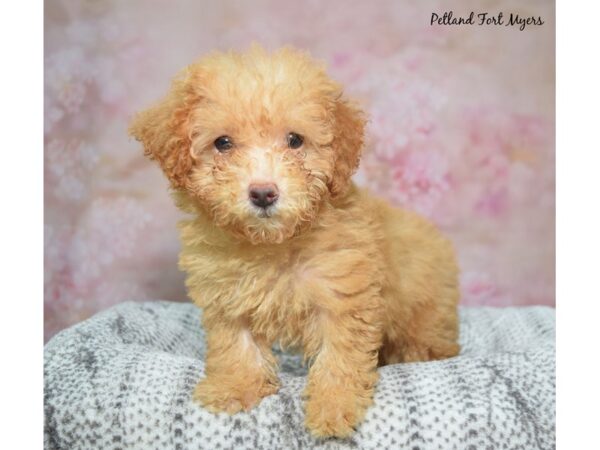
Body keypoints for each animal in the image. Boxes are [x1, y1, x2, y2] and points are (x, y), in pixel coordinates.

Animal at [130, 46, 460, 440]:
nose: (263, 193)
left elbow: (339, 355)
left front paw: (334, 407)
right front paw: (235, 386)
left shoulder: (342, 295)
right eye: (223, 143)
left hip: (427, 311)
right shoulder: (227, 296)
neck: (273, 243)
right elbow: (235, 344)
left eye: (295, 140)